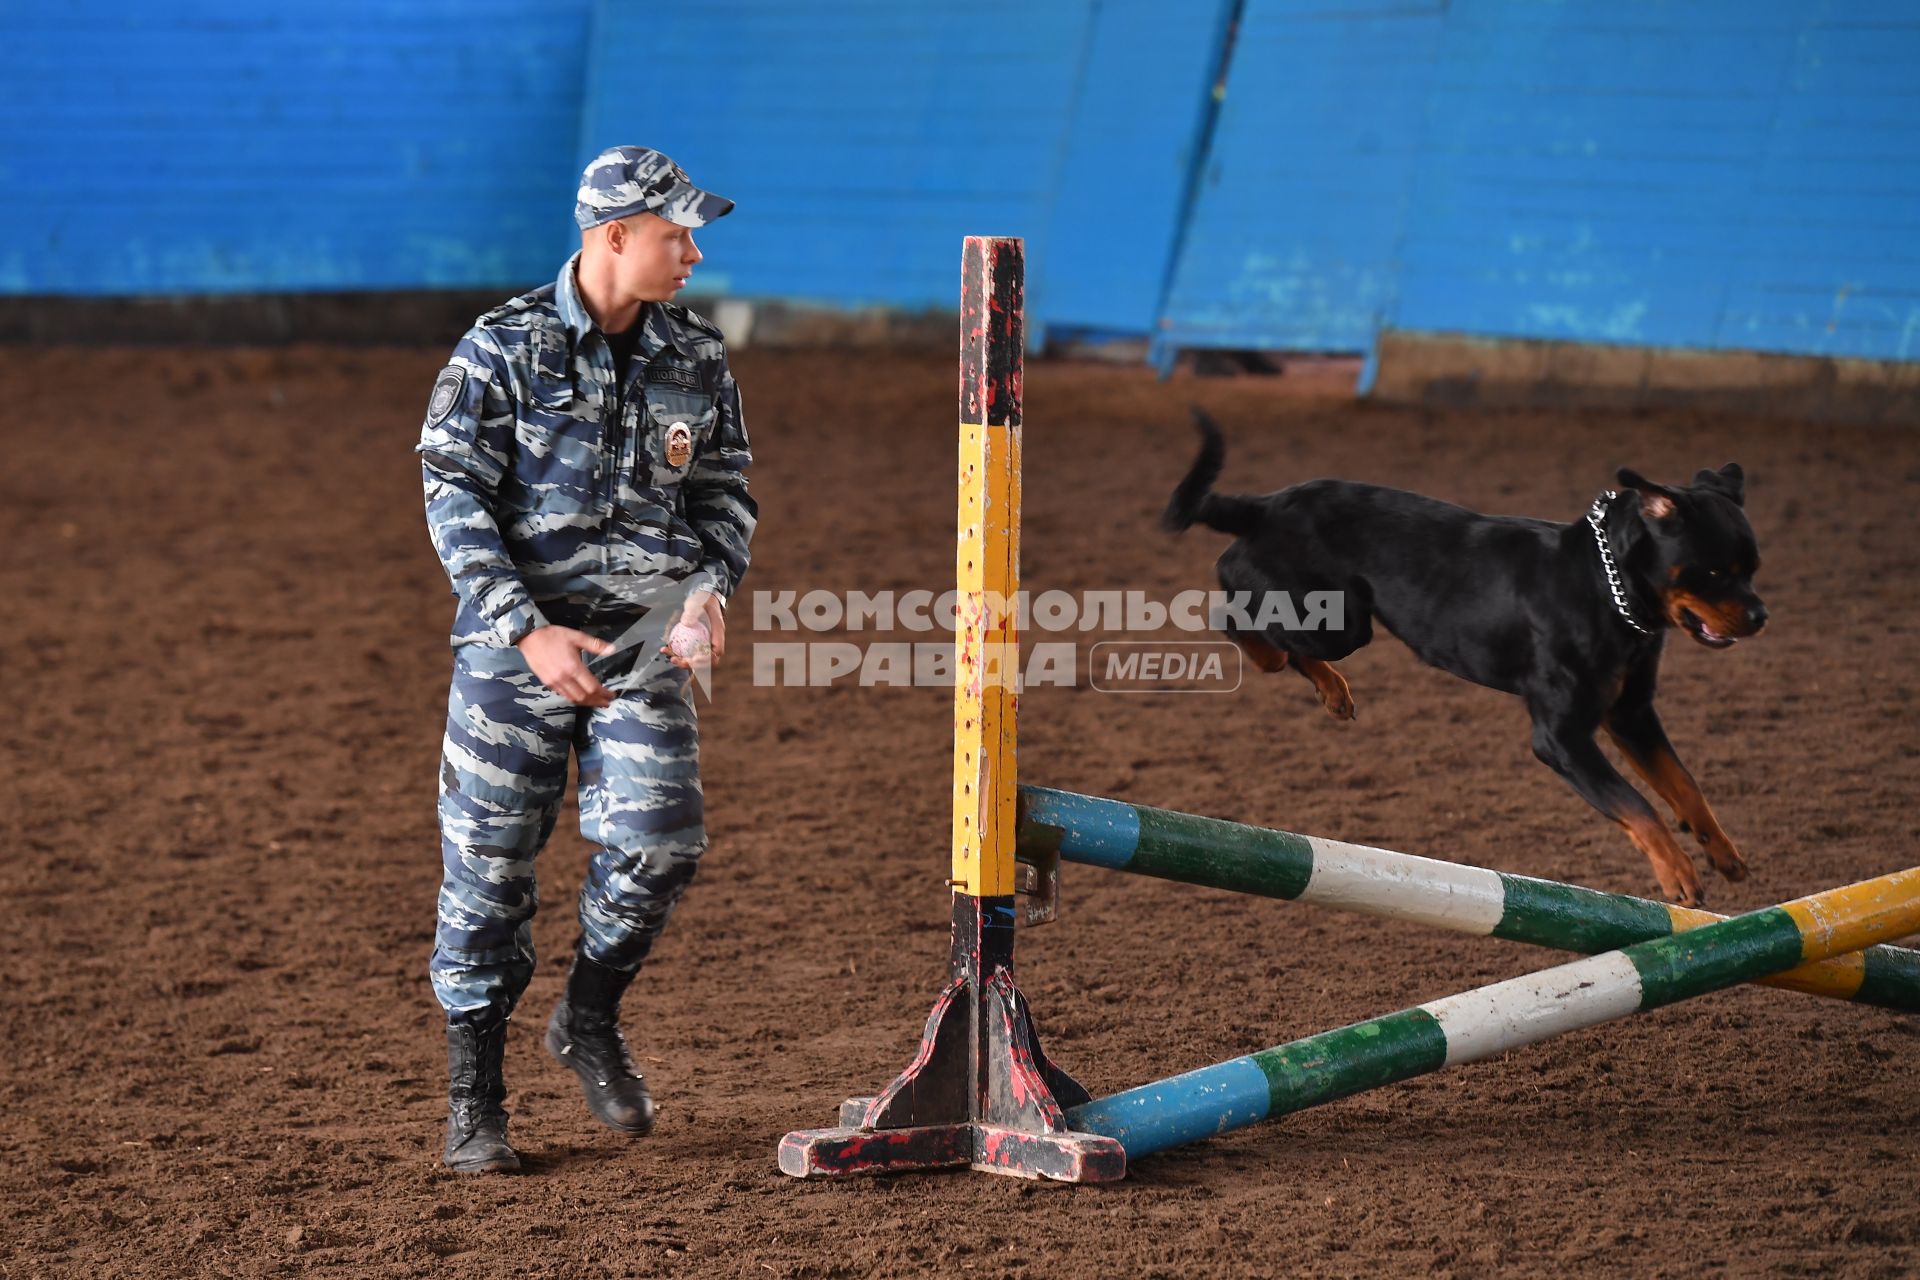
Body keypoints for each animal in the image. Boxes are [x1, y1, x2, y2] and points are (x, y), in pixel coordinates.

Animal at [1159, 410, 1758, 909]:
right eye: (1713, 571)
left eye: (1751, 567)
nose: (1760, 615)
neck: (1606, 589)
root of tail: (1266, 505)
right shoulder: (1561, 737)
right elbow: (1637, 805)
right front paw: (1678, 874)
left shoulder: (1631, 713)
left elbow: (1683, 783)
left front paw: (1723, 851)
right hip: (1334, 619)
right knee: (1235, 608)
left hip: (1341, 621)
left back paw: (1333, 693)